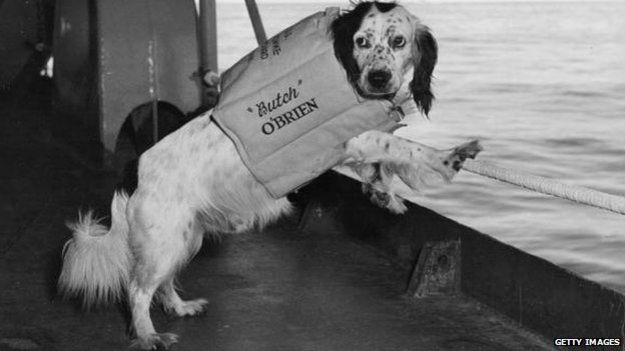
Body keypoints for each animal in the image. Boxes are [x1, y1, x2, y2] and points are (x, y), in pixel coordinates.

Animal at [57, 2, 478, 350]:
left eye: (398, 41)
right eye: (361, 41)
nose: (377, 78)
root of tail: (132, 173)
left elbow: (384, 163)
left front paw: (385, 195)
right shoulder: (354, 136)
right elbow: (405, 149)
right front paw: (448, 158)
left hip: (184, 238)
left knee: (162, 284)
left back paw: (180, 307)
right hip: (165, 242)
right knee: (138, 289)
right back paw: (148, 336)